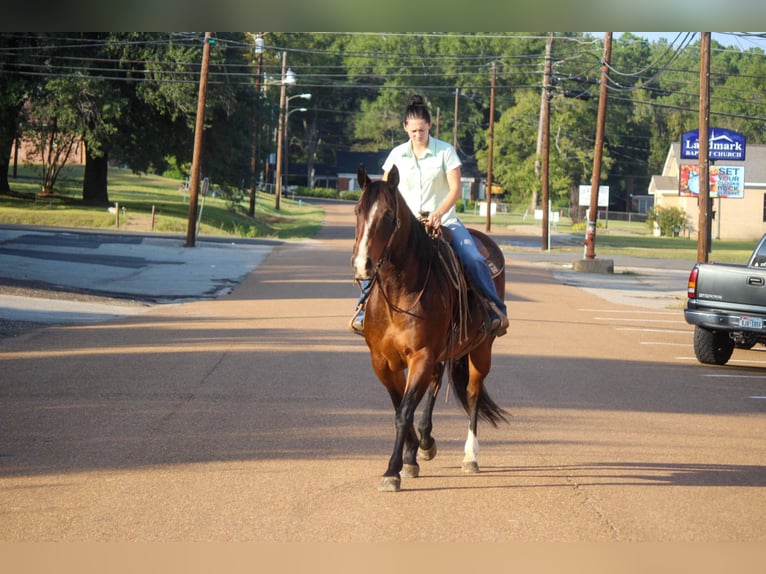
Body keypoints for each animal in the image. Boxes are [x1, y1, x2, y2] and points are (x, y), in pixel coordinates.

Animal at [354, 164, 510, 492]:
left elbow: (403, 412)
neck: (399, 292)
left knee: (473, 393)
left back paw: (470, 456)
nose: (363, 265)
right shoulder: (382, 361)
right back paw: (425, 441)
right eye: (357, 210)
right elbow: (401, 406)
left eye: (388, 214)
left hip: (481, 350)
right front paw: (412, 455)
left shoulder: (421, 355)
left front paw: (393, 470)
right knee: (437, 384)